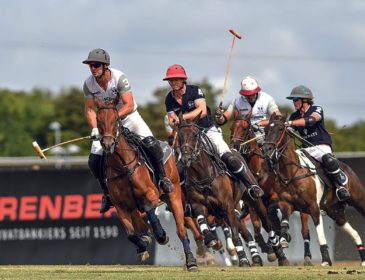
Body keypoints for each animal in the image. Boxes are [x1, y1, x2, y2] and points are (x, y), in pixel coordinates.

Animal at [94, 103, 196, 272]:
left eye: (116, 119)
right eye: (98, 119)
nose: (107, 144)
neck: (123, 166)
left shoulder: (151, 194)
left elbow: (150, 210)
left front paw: (161, 235)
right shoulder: (120, 206)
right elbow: (131, 234)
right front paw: (143, 245)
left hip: (173, 194)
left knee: (181, 230)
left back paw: (191, 261)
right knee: (139, 221)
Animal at [230, 115, 312, 264]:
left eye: (244, 128)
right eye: (231, 128)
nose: (234, 147)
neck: (259, 169)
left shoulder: (274, 198)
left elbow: (270, 219)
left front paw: (278, 242)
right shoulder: (252, 201)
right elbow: (258, 226)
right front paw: (268, 249)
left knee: (305, 230)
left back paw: (306, 255)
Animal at [262, 114, 365, 266]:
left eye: (280, 128)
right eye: (266, 129)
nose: (267, 149)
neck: (291, 172)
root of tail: (348, 169)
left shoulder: (313, 207)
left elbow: (319, 235)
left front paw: (326, 260)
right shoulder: (287, 203)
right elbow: (284, 221)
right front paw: (284, 238)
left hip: (358, 200)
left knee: (329, 160)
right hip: (335, 211)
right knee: (355, 233)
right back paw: (363, 260)